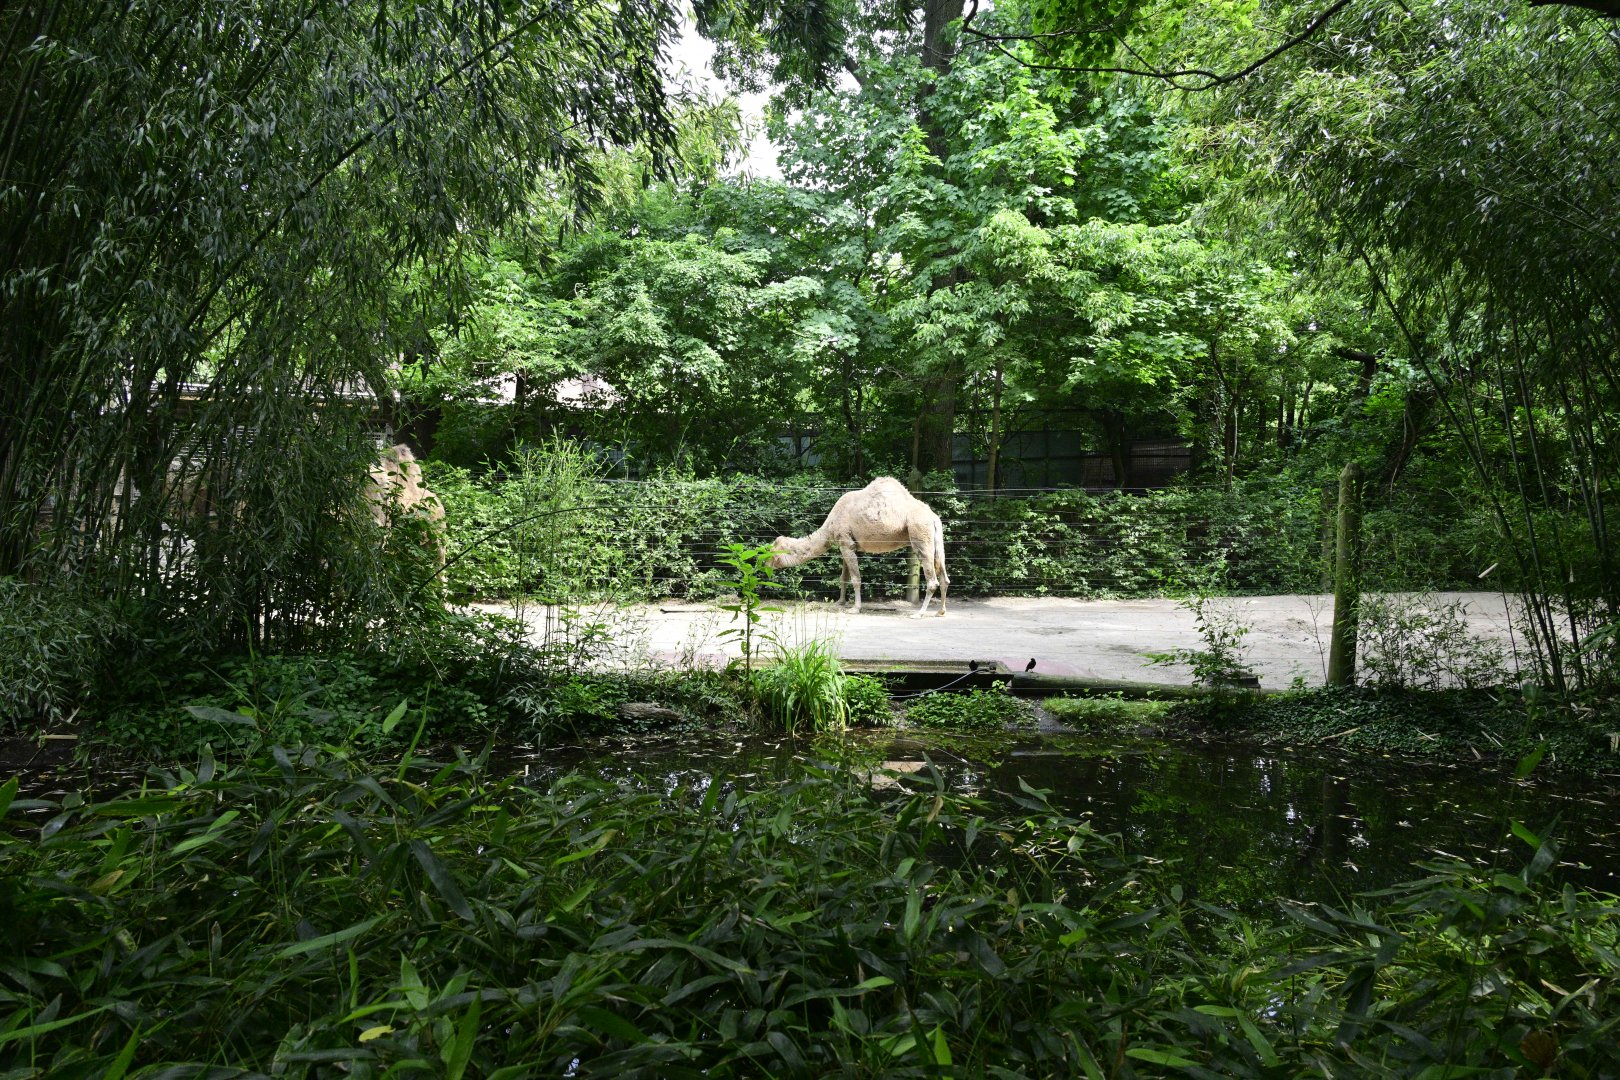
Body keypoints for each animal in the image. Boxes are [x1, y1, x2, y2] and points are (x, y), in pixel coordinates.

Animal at [769, 477, 949, 617]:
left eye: (771, 554)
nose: (764, 564)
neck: (829, 526)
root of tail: (934, 517)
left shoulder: (846, 543)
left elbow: (856, 579)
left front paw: (855, 608)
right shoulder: (847, 545)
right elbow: (843, 577)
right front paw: (840, 602)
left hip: (920, 534)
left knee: (932, 579)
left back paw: (919, 613)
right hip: (936, 540)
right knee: (944, 576)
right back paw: (940, 611)